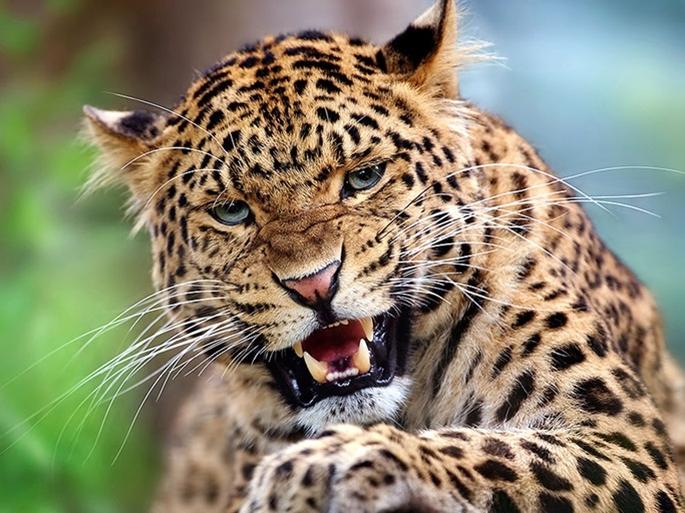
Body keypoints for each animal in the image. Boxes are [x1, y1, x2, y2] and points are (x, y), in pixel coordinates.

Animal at [83, 1, 685, 512]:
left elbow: (491, 449)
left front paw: (317, 466)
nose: (314, 284)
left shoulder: (628, 448)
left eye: (363, 177)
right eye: (232, 211)